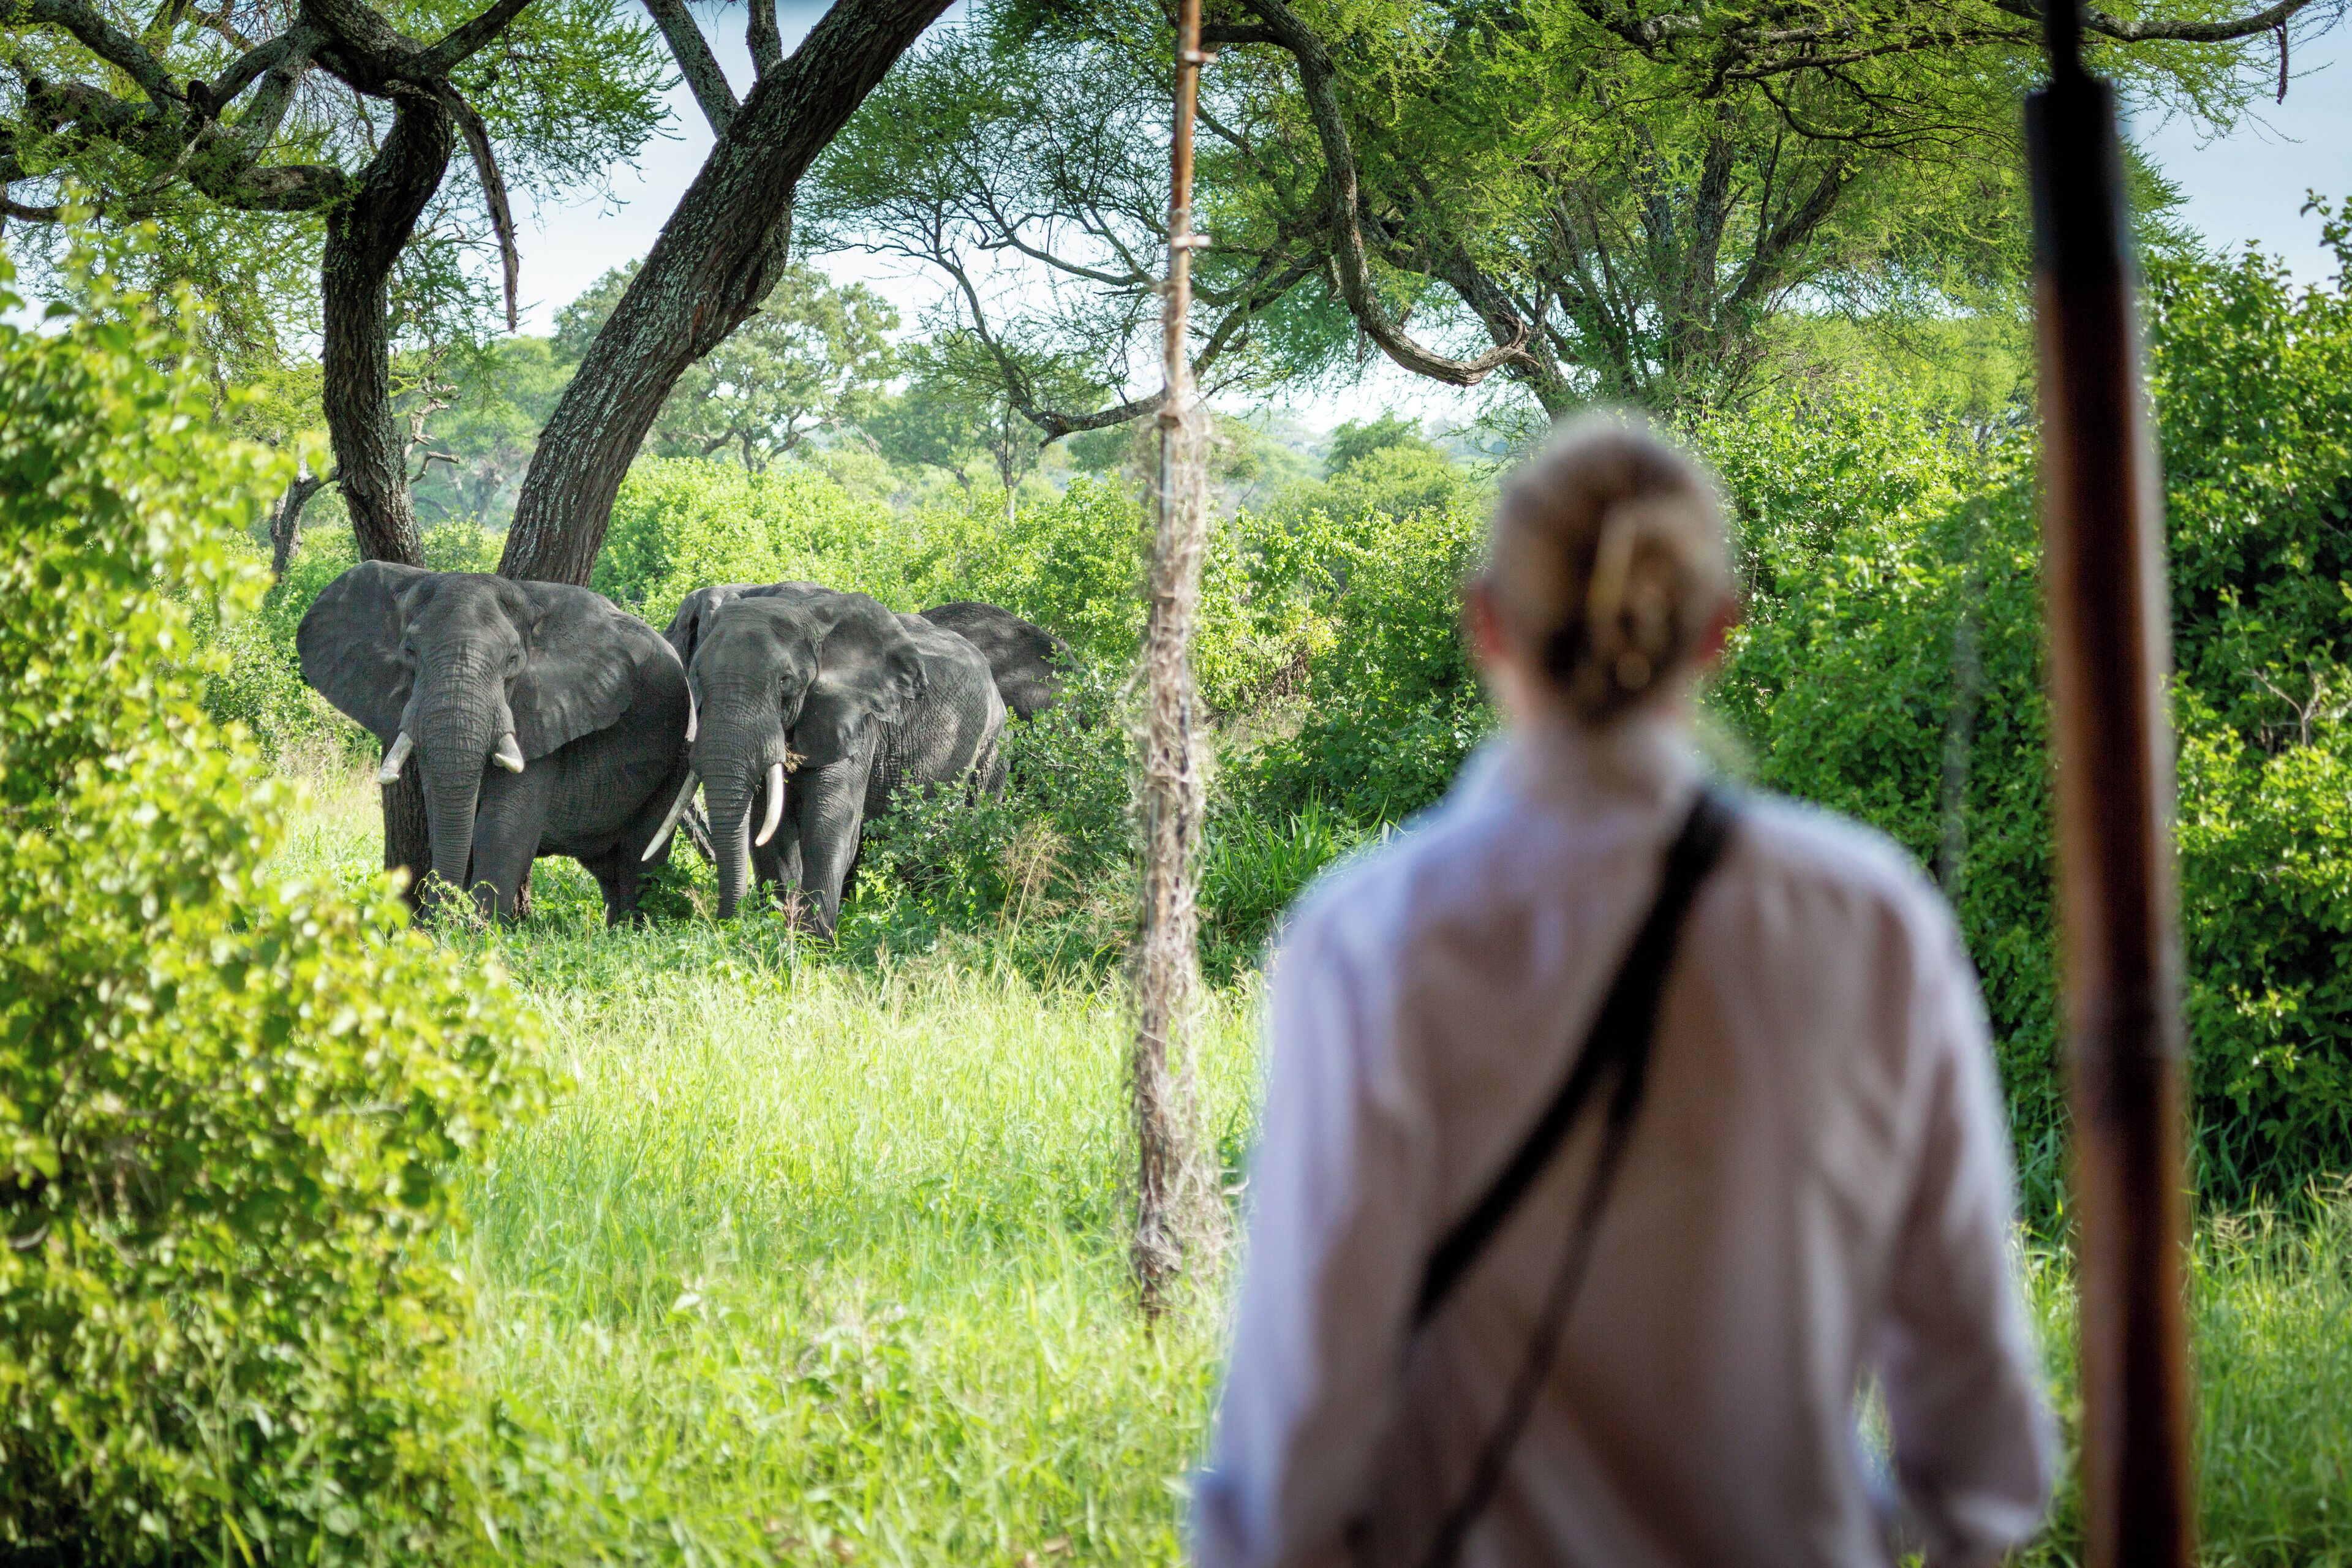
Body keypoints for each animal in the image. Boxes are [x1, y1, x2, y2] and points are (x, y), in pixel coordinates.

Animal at [299, 561, 691, 924]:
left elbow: (502, 826)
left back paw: (634, 928)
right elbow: (445, 813)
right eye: (409, 651)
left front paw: (477, 933)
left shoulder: (543, 712)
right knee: (608, 868)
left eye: (513, 659)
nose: (428, 922)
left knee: (639, 855)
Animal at [649, 584, 1006, 934]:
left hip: (991, 744)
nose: (727, 926)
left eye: (785, 682)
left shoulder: (856, 719)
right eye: (695, 679)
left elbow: (828, 823)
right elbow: (770, 830)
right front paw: (779, 932)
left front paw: (811, 943)